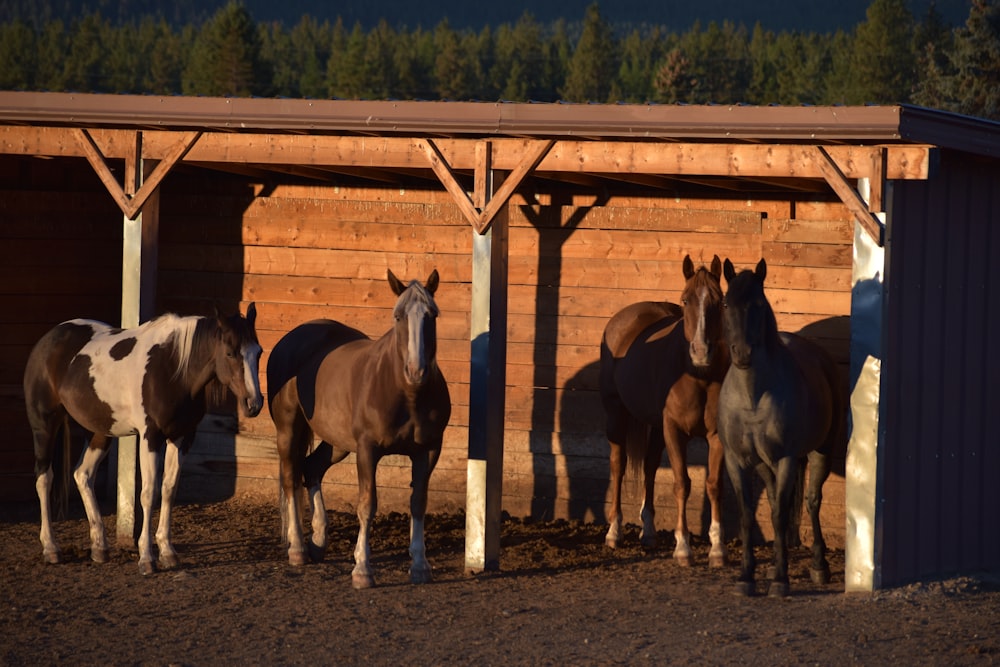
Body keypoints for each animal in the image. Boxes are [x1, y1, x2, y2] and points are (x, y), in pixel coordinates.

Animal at [24, 306, 264, 576]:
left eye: (258, 352)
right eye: (230, 353)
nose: (254, 404)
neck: (174, 370)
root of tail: (49, 339)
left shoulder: (182, 437)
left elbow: (169, 489)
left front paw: (168, 552)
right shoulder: (151, 436)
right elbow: (148, 493)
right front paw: (147, 558)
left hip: (100, 432)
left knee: (82, 475)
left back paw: (99, 547)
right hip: (44, 425)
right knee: (44, 478)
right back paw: (51, 548)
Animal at [268, 268, 452, 588]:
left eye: (432, 315)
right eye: (398, 316)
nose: (416, 371)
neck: (407, 394)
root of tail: (291, 339)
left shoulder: (428, 451)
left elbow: (418, 503)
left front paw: (420, 565)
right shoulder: (368, 449)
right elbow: (367, 505)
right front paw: (362, 569)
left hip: (337, 442)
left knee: (312, 468)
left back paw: (318, 541)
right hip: (288, 429)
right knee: (291, 479)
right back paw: (298, 548)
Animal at [596, 253, 732, 568]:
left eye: (719, 301)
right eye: (685, 300)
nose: (701, 351)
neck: (697, 375)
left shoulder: (715, 436)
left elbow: (714, 485)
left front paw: (717, 549)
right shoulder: (674, 431)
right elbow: (682, 483)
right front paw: (683, 548)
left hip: (656, 427)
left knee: (649, 467)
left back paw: (648, 532)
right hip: (616, 415)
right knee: (618, 465)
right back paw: (614, 532)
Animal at [720, 258, 844, 596]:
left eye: (759, 305)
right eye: (726, 303)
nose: (743, 354)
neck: (752, 397)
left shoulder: (787, 459)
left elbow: (778, 516)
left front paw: (780, 580)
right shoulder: (736, 461)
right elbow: (748, 515)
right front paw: (746, 578)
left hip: (820, 452)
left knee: (812, 502)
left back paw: (819, 566)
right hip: (765, 465)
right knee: (781, 500)